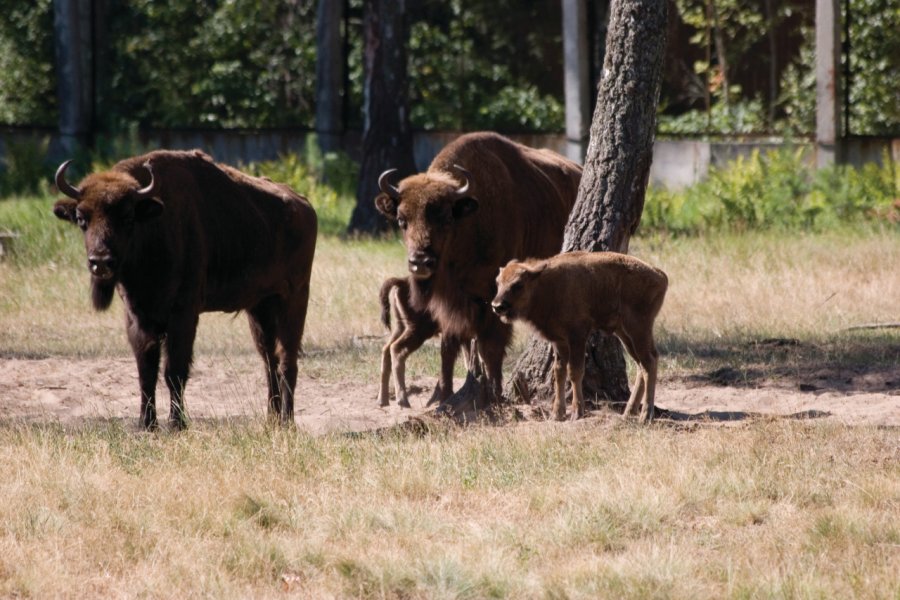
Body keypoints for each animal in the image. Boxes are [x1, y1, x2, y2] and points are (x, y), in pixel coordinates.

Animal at [52, 152, 318, 428]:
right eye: (82, 219)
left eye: (127, 218)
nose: (101, 261)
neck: (153, 226)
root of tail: (305, 207)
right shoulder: (138, 318)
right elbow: (146, 370)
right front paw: (146, 424)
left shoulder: (183, 314)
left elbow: (174, 371)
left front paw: (176, 423)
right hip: (260, 308)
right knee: (269, 360)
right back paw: (272, 419)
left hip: (294, 299)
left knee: (287, 360)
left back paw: (287, 422)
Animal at [374, 131, 580, 412]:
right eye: (401, 220)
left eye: (446, 218)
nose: (420, 262)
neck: (469, 225)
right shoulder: (450, 305)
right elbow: (449, 347)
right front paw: (443, 396)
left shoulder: (494, 298)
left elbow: (491, 346)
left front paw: (493, 395)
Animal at [492, 251, 668, 424]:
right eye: (498, 283)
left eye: (518, 284)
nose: (497, 306)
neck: (545, 284)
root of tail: (660, 275)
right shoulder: (559, 341)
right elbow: (559, 372)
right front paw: (557, 414)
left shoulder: (577, 336)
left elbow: (575, 372)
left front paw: (577, 412)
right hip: (625, 334)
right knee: (641, 365)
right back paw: (628, 413)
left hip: (638, 329)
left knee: (649, 362)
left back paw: (645, 415)